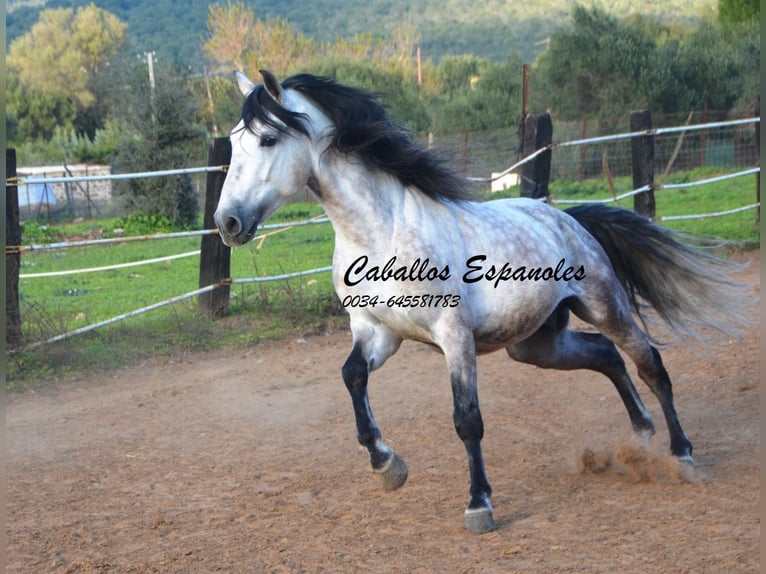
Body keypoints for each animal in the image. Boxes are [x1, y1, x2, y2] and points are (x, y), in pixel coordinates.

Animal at [213, 70, 752, 532]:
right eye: (234, 142)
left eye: (267, 139)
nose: (228, 223)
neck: (381, 232)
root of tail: (568, 218)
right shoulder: (377, 332)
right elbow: (352, 377)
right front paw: (388, 466)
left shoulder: (454, 336)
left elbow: (467, 419)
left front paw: (479, 506)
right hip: (536, 345)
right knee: (605, 356)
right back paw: (639, 437)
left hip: (604, 306)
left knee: (649, 363)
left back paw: (681, 454)